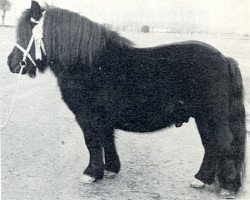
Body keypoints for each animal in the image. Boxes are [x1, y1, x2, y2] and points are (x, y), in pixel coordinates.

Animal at [7, 1, 246, 198]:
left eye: (27, 34)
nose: (12, 63)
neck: (88, 64)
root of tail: (224, 58)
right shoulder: (103, 119)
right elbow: (107, 140)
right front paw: (110, 169)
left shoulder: (87, 118)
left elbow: (92, 143)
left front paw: (91, 173)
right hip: (204, 118)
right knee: (212, 145)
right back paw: (203, 180)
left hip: (210, 116)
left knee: (221, 143)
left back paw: (225, 186)